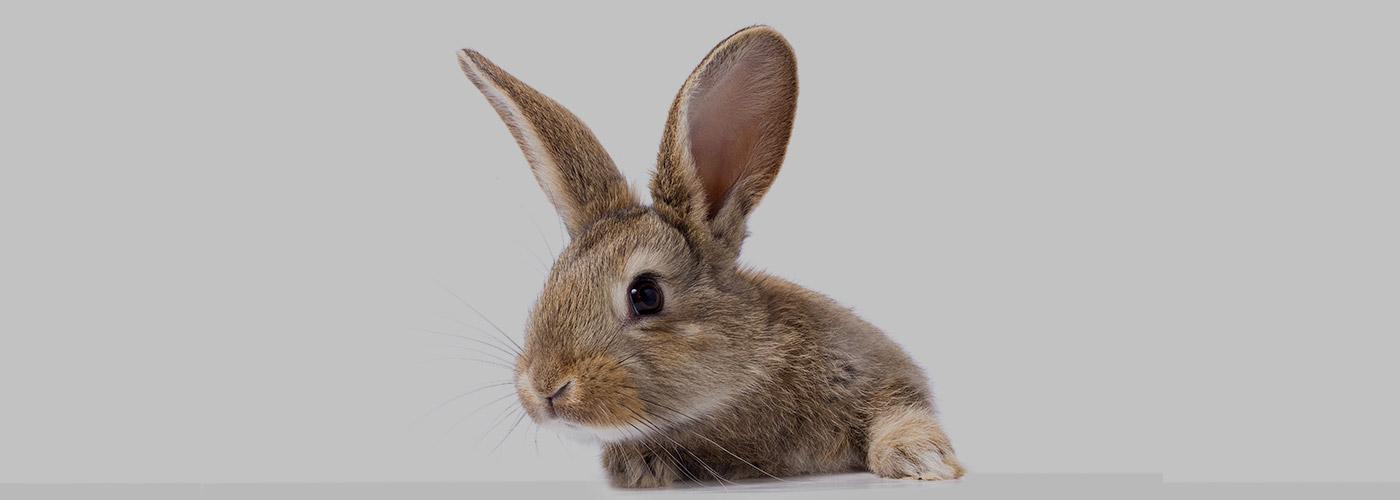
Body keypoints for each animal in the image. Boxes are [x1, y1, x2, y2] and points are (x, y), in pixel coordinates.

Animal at [459, 24, 963, 487]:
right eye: (552, 280)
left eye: (646, 294)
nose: (545, 387)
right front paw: (638, 467)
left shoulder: (877, 370)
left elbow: (899, 409)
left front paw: (921, 459)